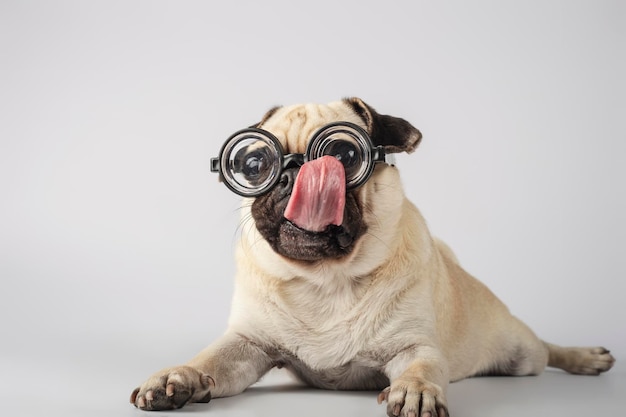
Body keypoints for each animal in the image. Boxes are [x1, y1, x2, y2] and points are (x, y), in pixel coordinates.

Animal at [130, 98, 616, 416]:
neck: (325, 279)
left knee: (546, 350)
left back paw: (585, 357)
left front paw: (416, 392)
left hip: (520, 353)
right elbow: (208, 360)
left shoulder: (415, 346)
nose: (294, 172)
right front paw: (177, 378)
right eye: (254, 165)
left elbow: (421, 368)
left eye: (345, 153)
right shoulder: (247, 345)